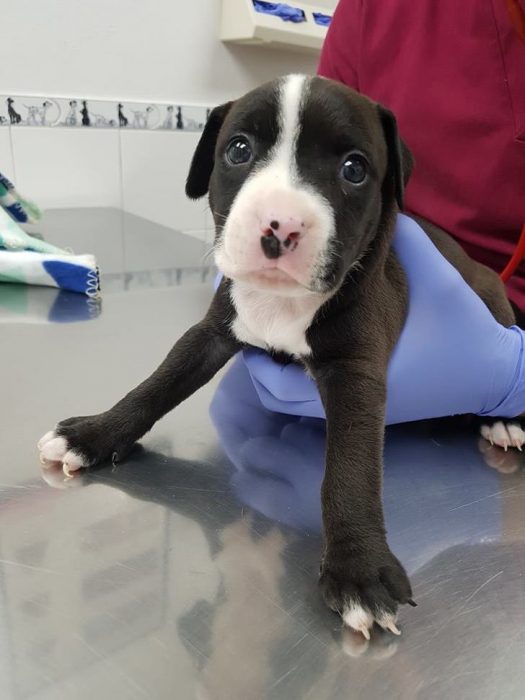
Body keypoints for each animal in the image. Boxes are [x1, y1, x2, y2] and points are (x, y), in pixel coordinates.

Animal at [36, 76, 516, 640]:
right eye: (239, 150)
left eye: (354, 168)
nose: (280, 225)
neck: (282, 304)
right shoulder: (212, 331)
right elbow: (157, 384)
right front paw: (93, 434)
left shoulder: (355, 371)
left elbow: (350, 468)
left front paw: (358, 568)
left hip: (490, 295)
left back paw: (502, 419)